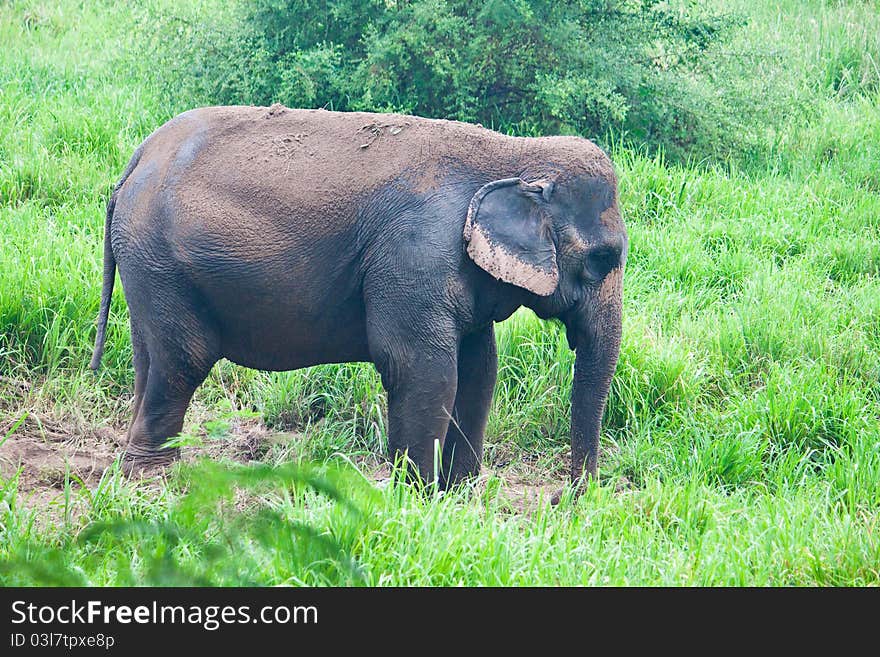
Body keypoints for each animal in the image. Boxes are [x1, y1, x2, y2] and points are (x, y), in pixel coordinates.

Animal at [89, 104, 624, 492]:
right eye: (603, 259)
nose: (564, 499)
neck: (515, 153)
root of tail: (136, 160)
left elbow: (479, 368)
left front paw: (462, 496)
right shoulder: (414, 255)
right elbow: (422, 367)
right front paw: (416, 499)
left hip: (147, 265)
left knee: (150, 355)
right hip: (162, 260)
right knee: (184, 358)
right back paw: (154, 478)